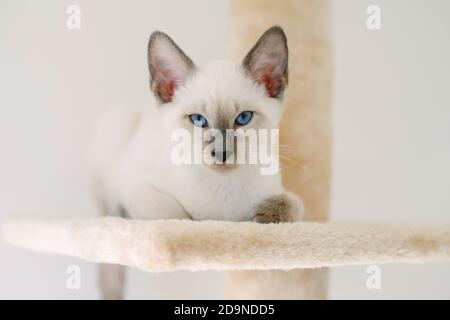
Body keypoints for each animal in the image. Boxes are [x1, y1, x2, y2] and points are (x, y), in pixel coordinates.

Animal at [90, 26, 304, 298]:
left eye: (243, 118)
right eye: (198, 120)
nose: (221, 153)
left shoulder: (284, 194)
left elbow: (293, 205)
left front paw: (264, 214)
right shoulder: (137, 187)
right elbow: (178, 218)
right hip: (117, 123)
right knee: (107, 213)